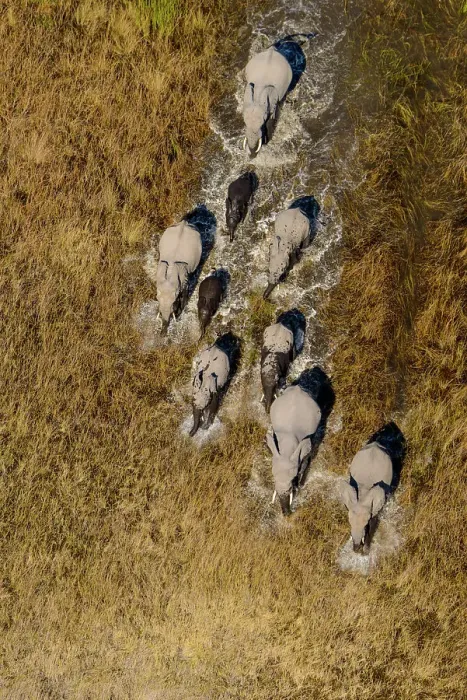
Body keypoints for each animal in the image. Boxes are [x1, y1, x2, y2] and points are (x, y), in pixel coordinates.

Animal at [341, 422, 406, 554]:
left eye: (365, 524)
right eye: (349, 522)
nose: (356, 549)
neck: (363, 490)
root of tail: (376, 444)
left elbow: (374, 521)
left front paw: (366, 551)